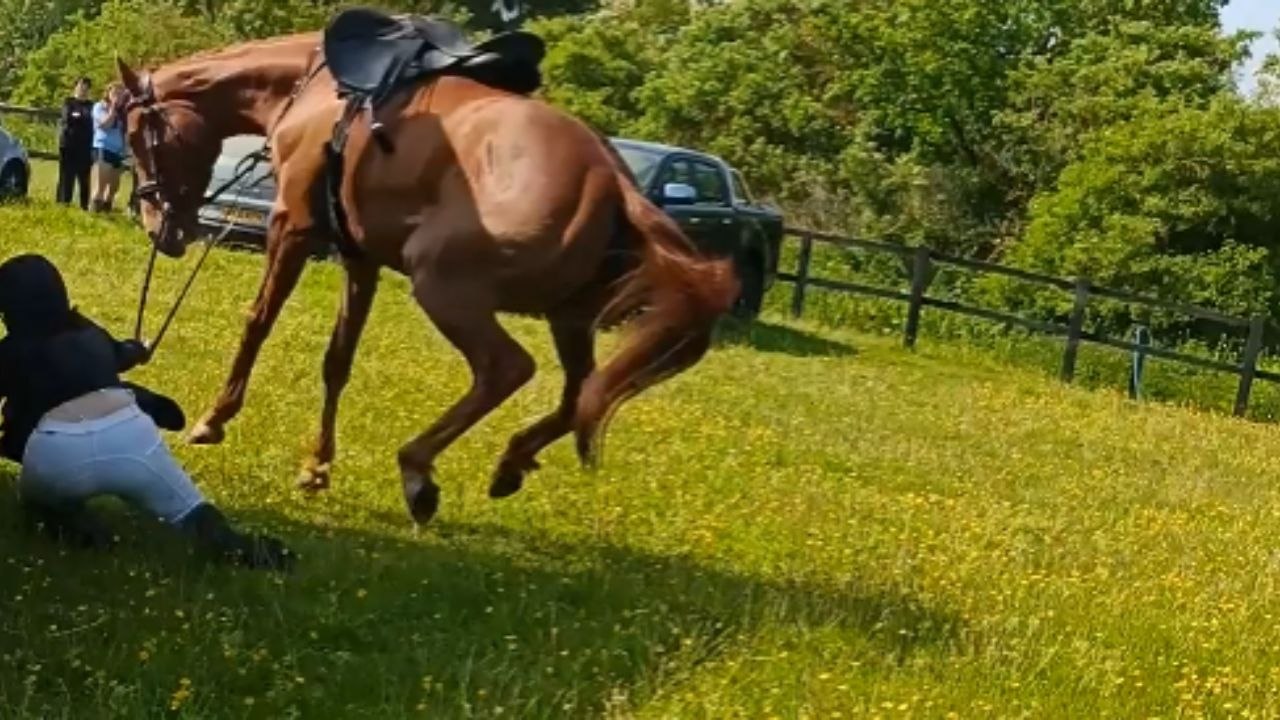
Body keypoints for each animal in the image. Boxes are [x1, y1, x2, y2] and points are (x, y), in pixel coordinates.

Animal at [114, 28, 738, 524]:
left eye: (140, 135)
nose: (157, 226)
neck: (312, 90)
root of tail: (614, 180)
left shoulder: (291, 227)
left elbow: (258, 322)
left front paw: (213, 420)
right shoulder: (359, 257)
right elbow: (337, 360)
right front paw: (316, 466)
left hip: (442, 286)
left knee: (507, 368)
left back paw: (418, 469)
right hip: (571, 318)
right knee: (581, 393)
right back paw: (511, 461)